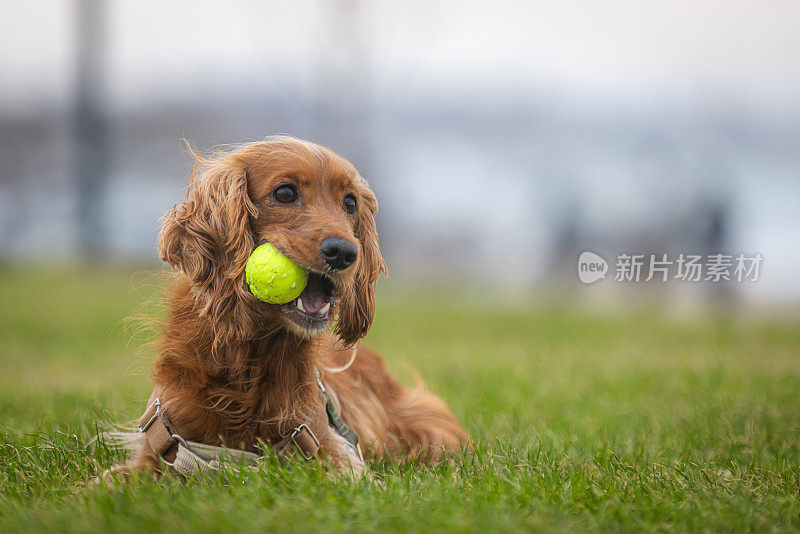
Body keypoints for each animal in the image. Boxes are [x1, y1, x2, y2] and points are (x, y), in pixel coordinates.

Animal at [115, 135, 472, 478]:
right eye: (285, 193)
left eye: (350, 203)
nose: (344, 253)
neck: (247, 365)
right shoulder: (163, 443)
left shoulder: (328, 447)